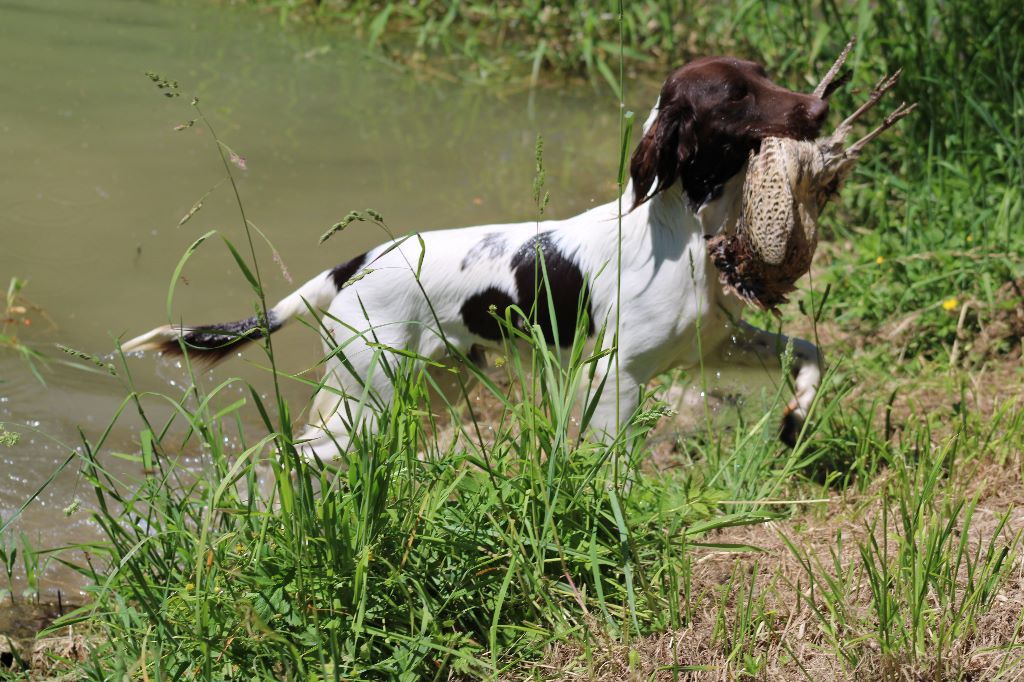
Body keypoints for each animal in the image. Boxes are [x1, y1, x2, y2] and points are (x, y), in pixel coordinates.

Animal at [123, 57, 827, 456]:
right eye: (736, 94)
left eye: (764, 72)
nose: (820, 105)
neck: (679, 227)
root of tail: (350, 266)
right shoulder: (614, 376)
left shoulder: (714, 347)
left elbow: (811, 355)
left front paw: (795, 422)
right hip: (371, 397)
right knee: (299, 457)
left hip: (430, 386)